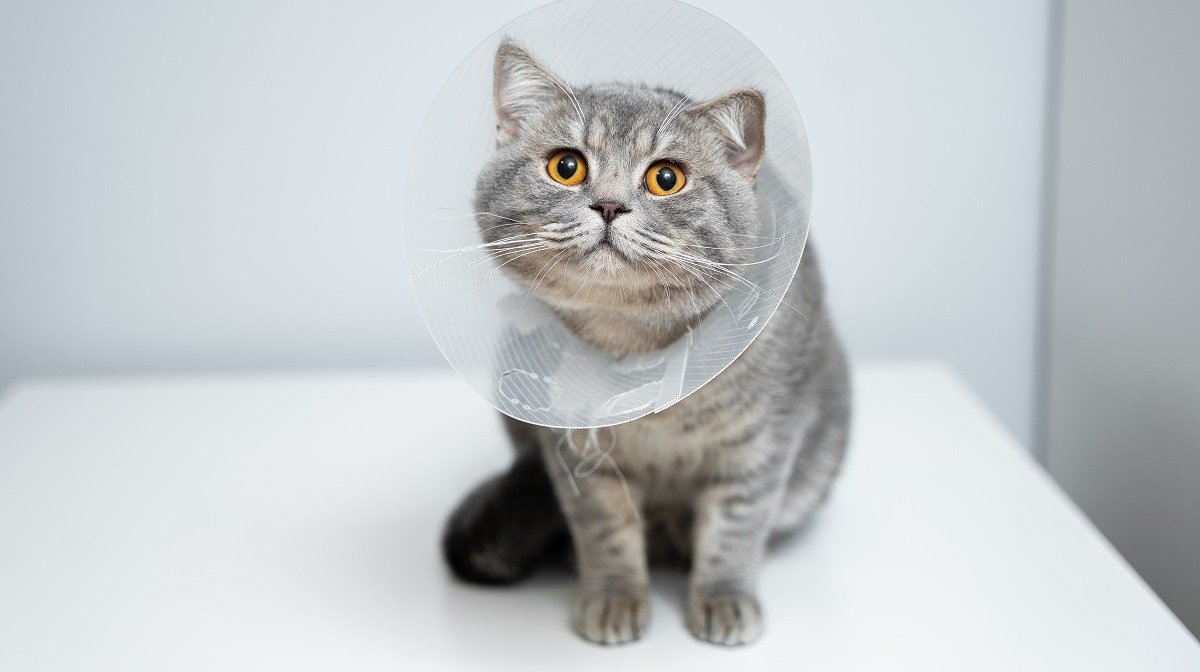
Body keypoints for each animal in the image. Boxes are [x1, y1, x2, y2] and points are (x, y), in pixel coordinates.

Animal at [444, 40, 854, 648]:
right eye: (567, 166)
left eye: (666, 178)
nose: (610, 205)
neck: (633, 350)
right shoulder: (575, 451)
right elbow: (605, 529)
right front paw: (614, 597)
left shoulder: (764, 442)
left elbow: (735, 527)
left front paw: (724, 600)